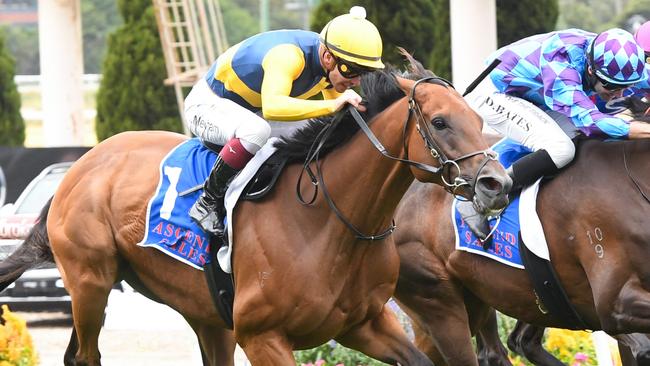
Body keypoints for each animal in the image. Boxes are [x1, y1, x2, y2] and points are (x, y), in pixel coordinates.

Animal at [0, 54, 512, 366]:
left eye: (479, 119)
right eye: (440, 122)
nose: (497, 184)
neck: (331, 224)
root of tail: (82, 165)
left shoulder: (364, 324)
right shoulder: (263, 336)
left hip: (205, 314)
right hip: (90, 282)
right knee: (85, 353)